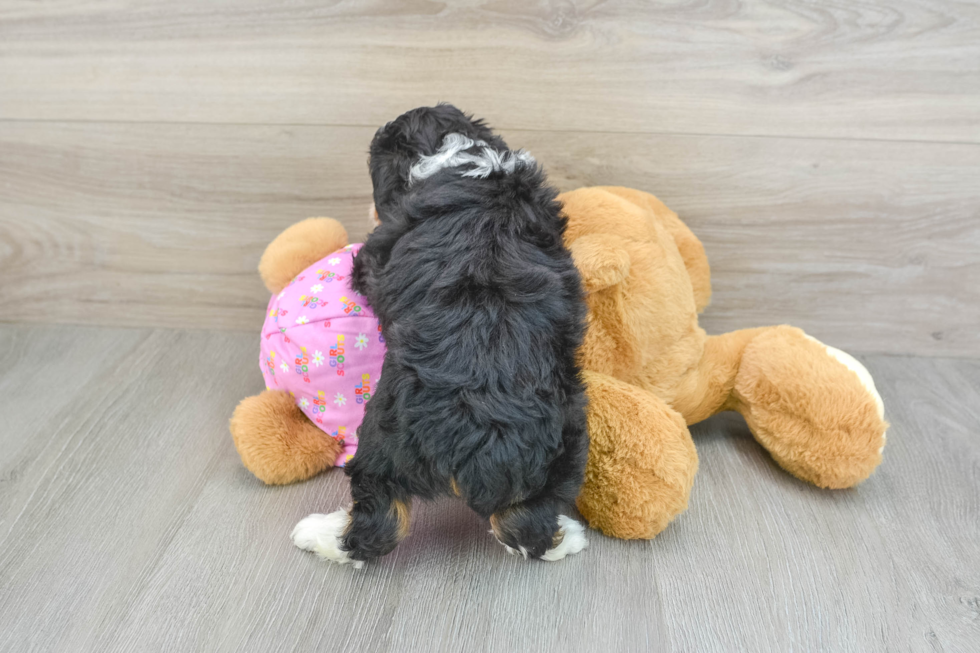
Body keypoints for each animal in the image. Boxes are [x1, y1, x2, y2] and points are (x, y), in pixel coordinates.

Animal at [288, 105, 584, 564]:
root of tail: (480, 433)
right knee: (525, 522)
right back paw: (567, 538)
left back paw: (317, 534)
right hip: (566, 436)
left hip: (382, 435)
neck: (463, 160)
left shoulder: (377, 254)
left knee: (378, 520)